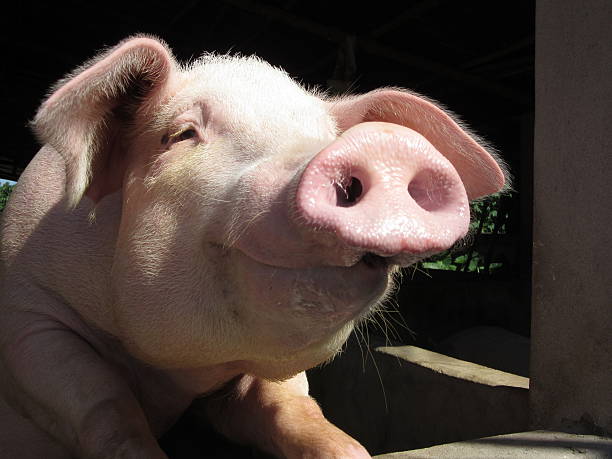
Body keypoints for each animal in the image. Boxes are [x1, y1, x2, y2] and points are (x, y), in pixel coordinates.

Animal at [0, 36, 504, 459]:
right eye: (181, 134)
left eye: (328, 138)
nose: (388, 146)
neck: (177, 373)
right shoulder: (28, 313)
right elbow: (105, 405)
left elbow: (294, 408)